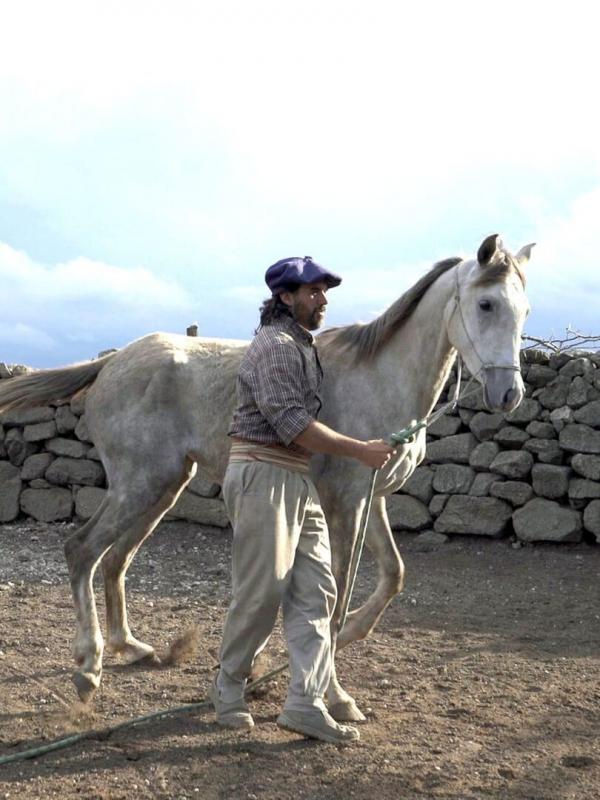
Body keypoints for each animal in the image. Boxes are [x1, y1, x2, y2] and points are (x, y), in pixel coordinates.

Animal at [0, 233, 532, 721]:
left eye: (525, 309)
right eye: (486, 303)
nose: (509, 394)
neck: (379, 379)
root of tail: (113, 361)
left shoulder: (372, 499)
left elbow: (393, 574)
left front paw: (341, 641)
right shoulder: (345, 500)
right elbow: (336, 598)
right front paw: (335, 695)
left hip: (162, 487)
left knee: (115, 560)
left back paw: (132, 648)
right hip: (140, 485)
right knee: (83, 550)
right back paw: (88, 668)